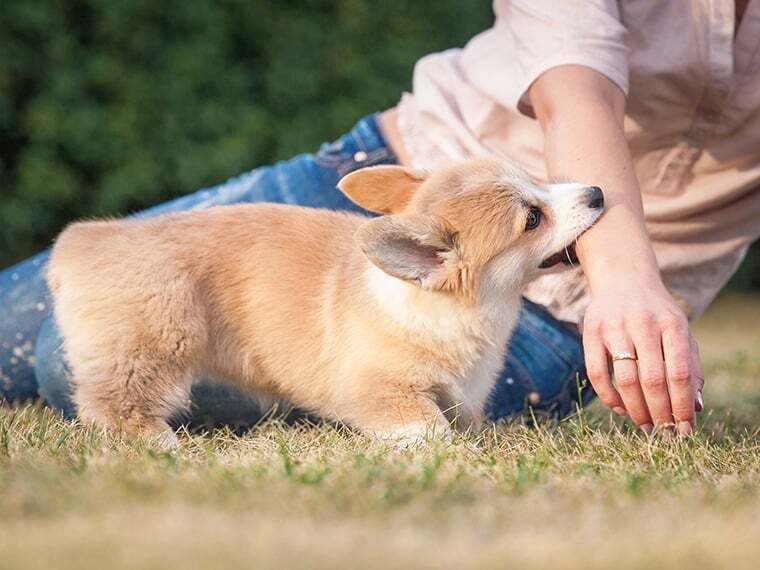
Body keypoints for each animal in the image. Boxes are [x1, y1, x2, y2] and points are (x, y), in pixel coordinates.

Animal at [49, 159, 604, 444]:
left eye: (538, 179)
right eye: (532, 219)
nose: (598, 192)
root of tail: (82, 241)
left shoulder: (464, 392)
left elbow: (465, 419)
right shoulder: (378, 390)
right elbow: (430, 427)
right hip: (156, 345)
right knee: (111, 404)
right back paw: (158, 443)